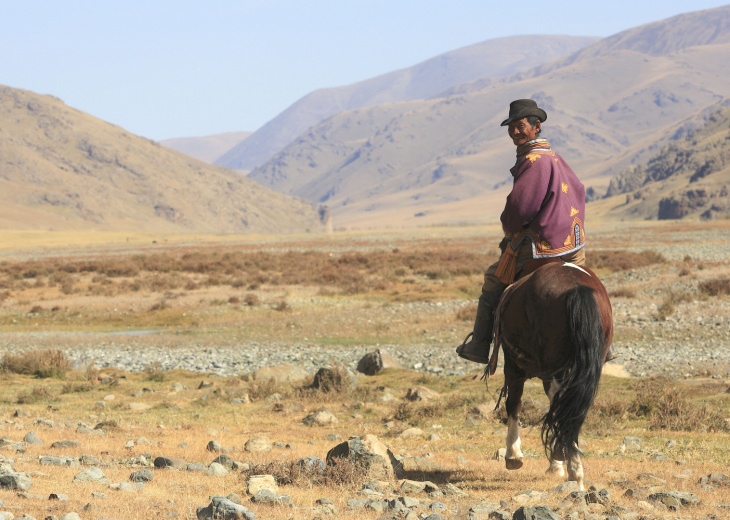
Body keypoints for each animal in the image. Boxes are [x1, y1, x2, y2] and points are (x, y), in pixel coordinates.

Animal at [486, 262, 612, 490]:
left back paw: (570, 466)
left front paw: (513, 456)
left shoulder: (513, 364)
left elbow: (514, 404)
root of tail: (576, 287)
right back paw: (573, 466)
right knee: (573, 409)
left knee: (559, 406)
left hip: (551, 368)